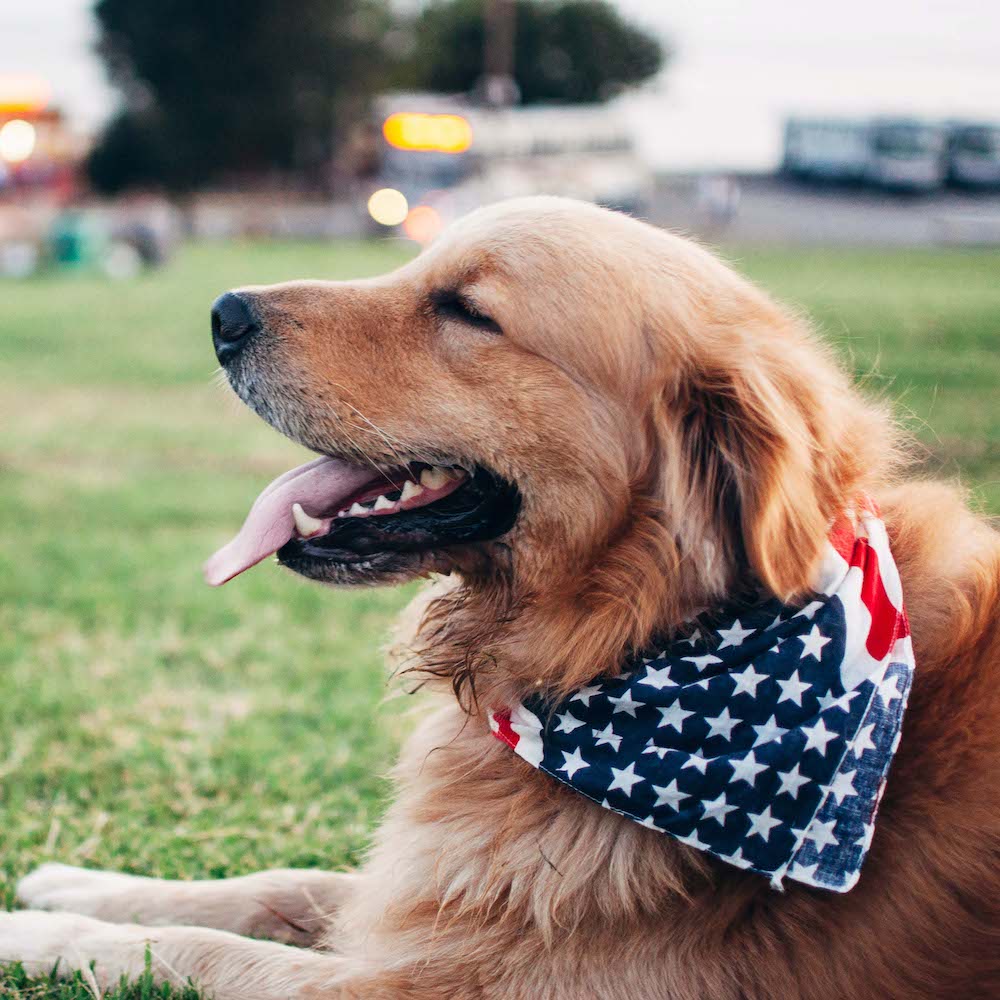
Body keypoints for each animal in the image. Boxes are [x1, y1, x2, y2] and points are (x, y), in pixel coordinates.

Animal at [1, 197, 1000, 1000]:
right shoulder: (441, 893)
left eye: (468, 311)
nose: (222, 313)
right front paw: (77, 884)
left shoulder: (429, 985)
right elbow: (280, 883)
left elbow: (193, 951)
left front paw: (46, 930)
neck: (628, 639)